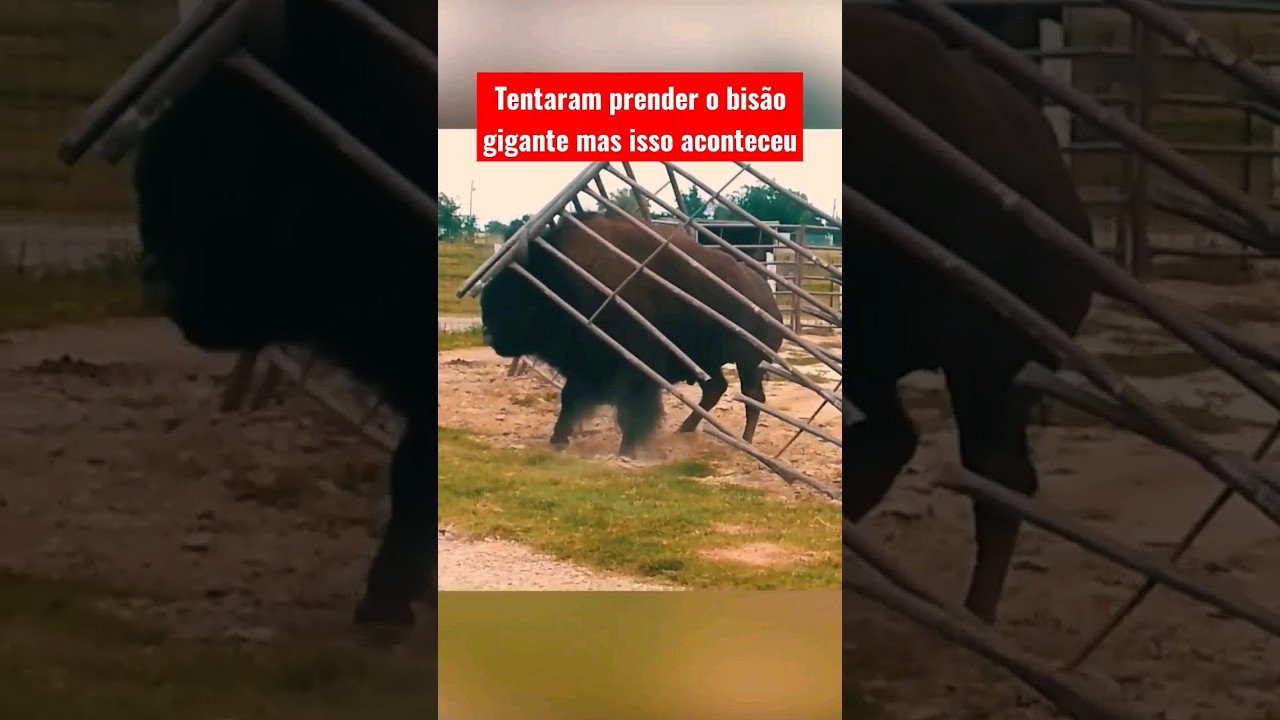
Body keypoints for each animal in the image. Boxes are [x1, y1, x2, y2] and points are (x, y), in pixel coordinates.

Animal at [478, 212, 783, 456]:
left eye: (515, 297)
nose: (489, 334)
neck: (563, 280)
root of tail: (766, 295)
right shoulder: (585, 367)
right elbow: (570, 399)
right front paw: (558, 439)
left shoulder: (635, 369)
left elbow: (631, 409)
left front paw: (628, 448)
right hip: (707, 362)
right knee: (716, 388)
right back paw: (684, 431)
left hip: (748, 362)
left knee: (752, 396)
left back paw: (744, 442)